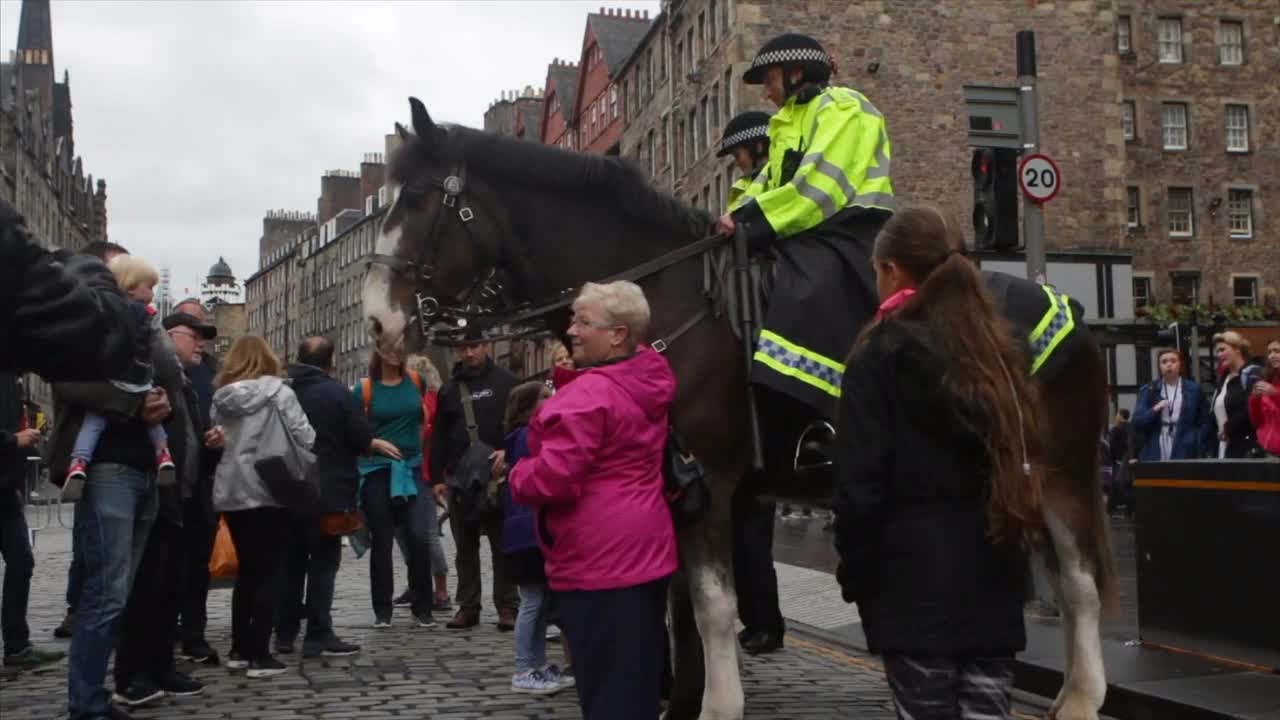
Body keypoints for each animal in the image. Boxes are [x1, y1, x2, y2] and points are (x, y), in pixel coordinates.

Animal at [366, 96, 1116, 717]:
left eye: (421, 199)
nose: (376, 322)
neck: (664, 300)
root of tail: (1070, 309)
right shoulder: (669, 489)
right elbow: (678, 611)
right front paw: (677, 703)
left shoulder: (712, 483)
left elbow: (713, 608)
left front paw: (717, 707)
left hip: (1062, 470)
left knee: (1080, 583)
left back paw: (1081, 698)